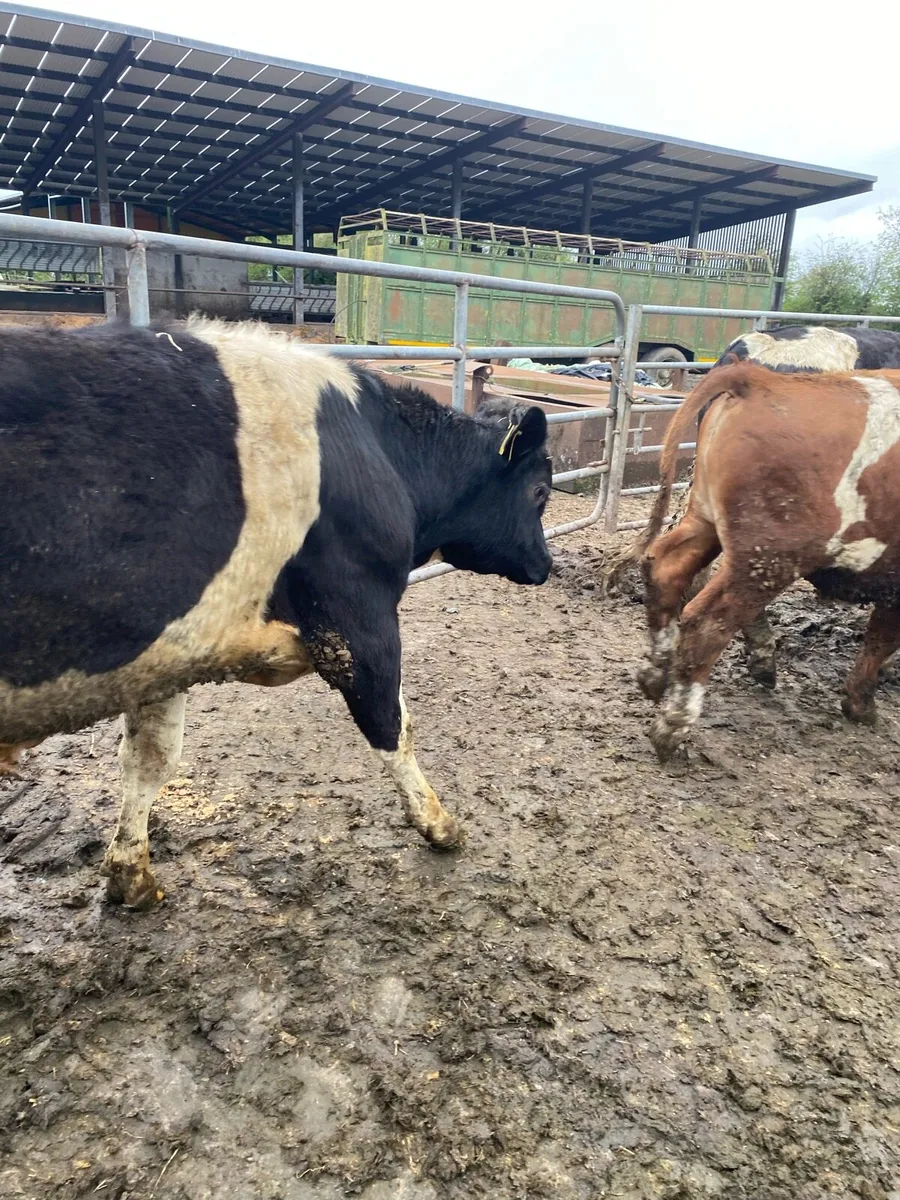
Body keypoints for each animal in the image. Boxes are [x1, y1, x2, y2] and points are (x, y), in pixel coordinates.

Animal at [0, 317, 553, 908]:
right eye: (540, 491)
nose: (547, 564)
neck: (380, 452)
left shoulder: (161, 658)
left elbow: (149, 761)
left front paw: (132, 876)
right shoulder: (358, 621)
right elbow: (394, 726)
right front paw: (438, 823)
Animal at [636, 362, 900, 760]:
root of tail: (761, 381)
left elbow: (880, 640)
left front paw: (859, 704)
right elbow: (883, 641)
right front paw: (862, 705)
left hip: (705, 521)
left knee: (666, 570)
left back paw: (656, 676)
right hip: (769, 558)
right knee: (707, 621)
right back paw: (673, 726)